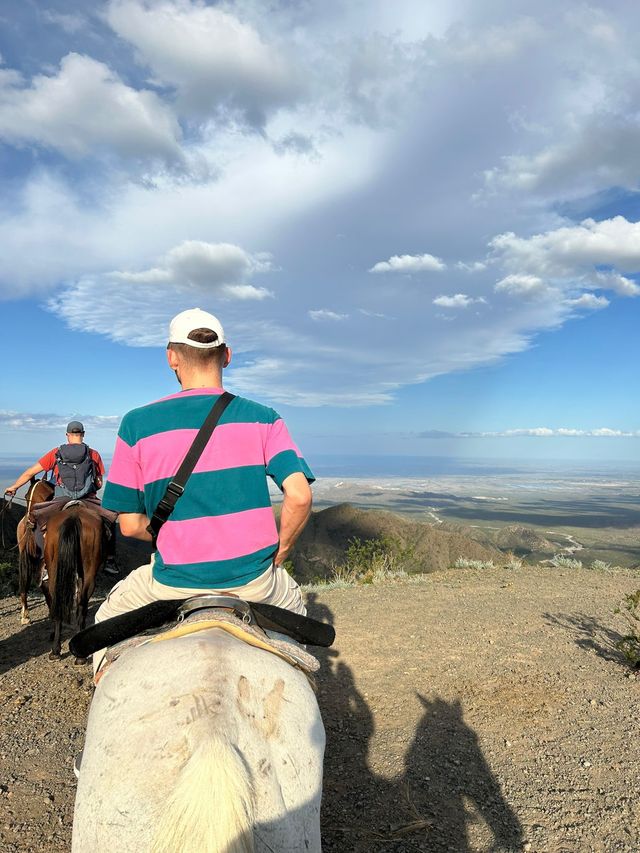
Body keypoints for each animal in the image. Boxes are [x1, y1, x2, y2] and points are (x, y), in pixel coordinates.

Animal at [45, 506, 103, 660]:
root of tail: (73, 516)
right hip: (89, 573)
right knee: (82, 604)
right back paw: (80, 656)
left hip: (54, 571)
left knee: (57, 601)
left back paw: (55, 650)